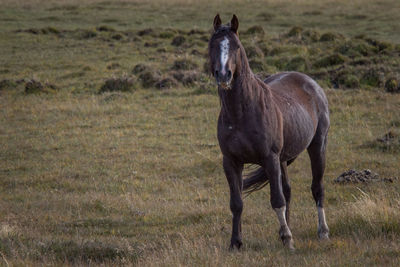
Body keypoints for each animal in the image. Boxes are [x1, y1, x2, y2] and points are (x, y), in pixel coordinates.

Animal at [208, 13, 330, 250]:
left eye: (236, 46)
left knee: (317, 188)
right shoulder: (231, 162)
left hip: (317, 146)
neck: (242, 112)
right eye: (212, 44)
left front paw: (288, 239)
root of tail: (310, 83)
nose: (224, 75)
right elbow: (236, 203)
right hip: (283, 159)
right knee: (288, 189)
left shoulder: (270, 158)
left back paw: (322, 232)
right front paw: (235, 242)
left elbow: (277, 200)